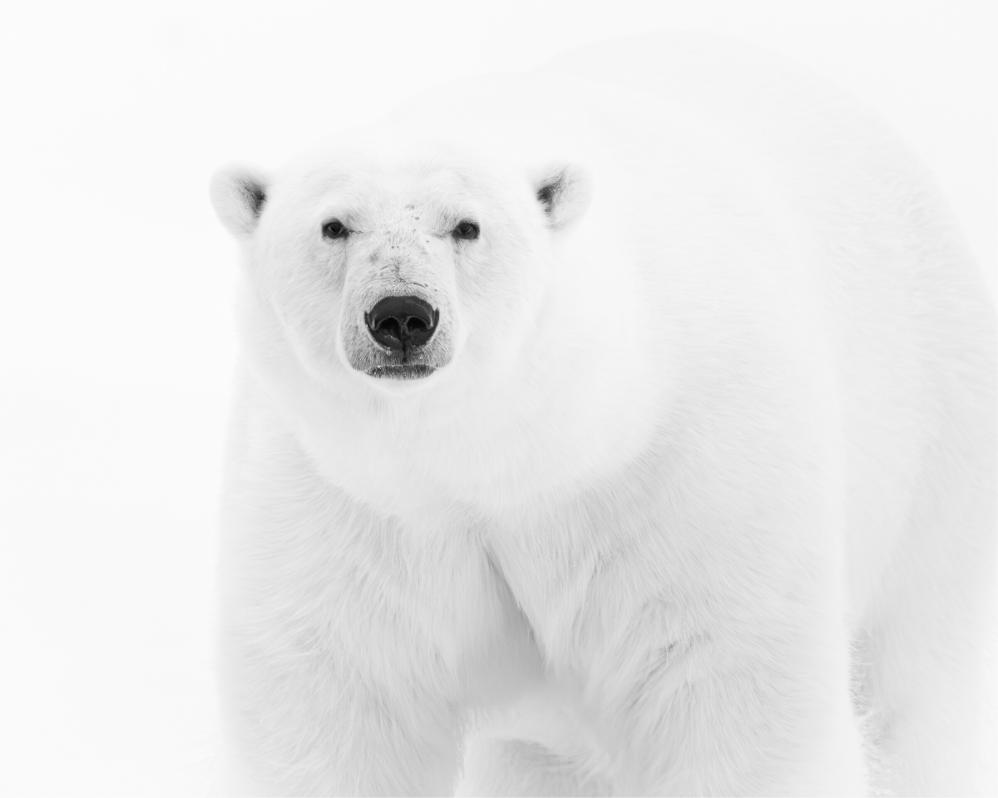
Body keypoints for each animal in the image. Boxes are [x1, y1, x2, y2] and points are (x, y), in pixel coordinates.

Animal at [208, 32, 998, 798]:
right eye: (333, 225)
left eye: (467, 226)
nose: (402, 315)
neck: (514, 454)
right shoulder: (349, 505)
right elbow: (338, 699)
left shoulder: (687, 478)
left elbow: (732, 690)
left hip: (932, 446)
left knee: (913, 682)